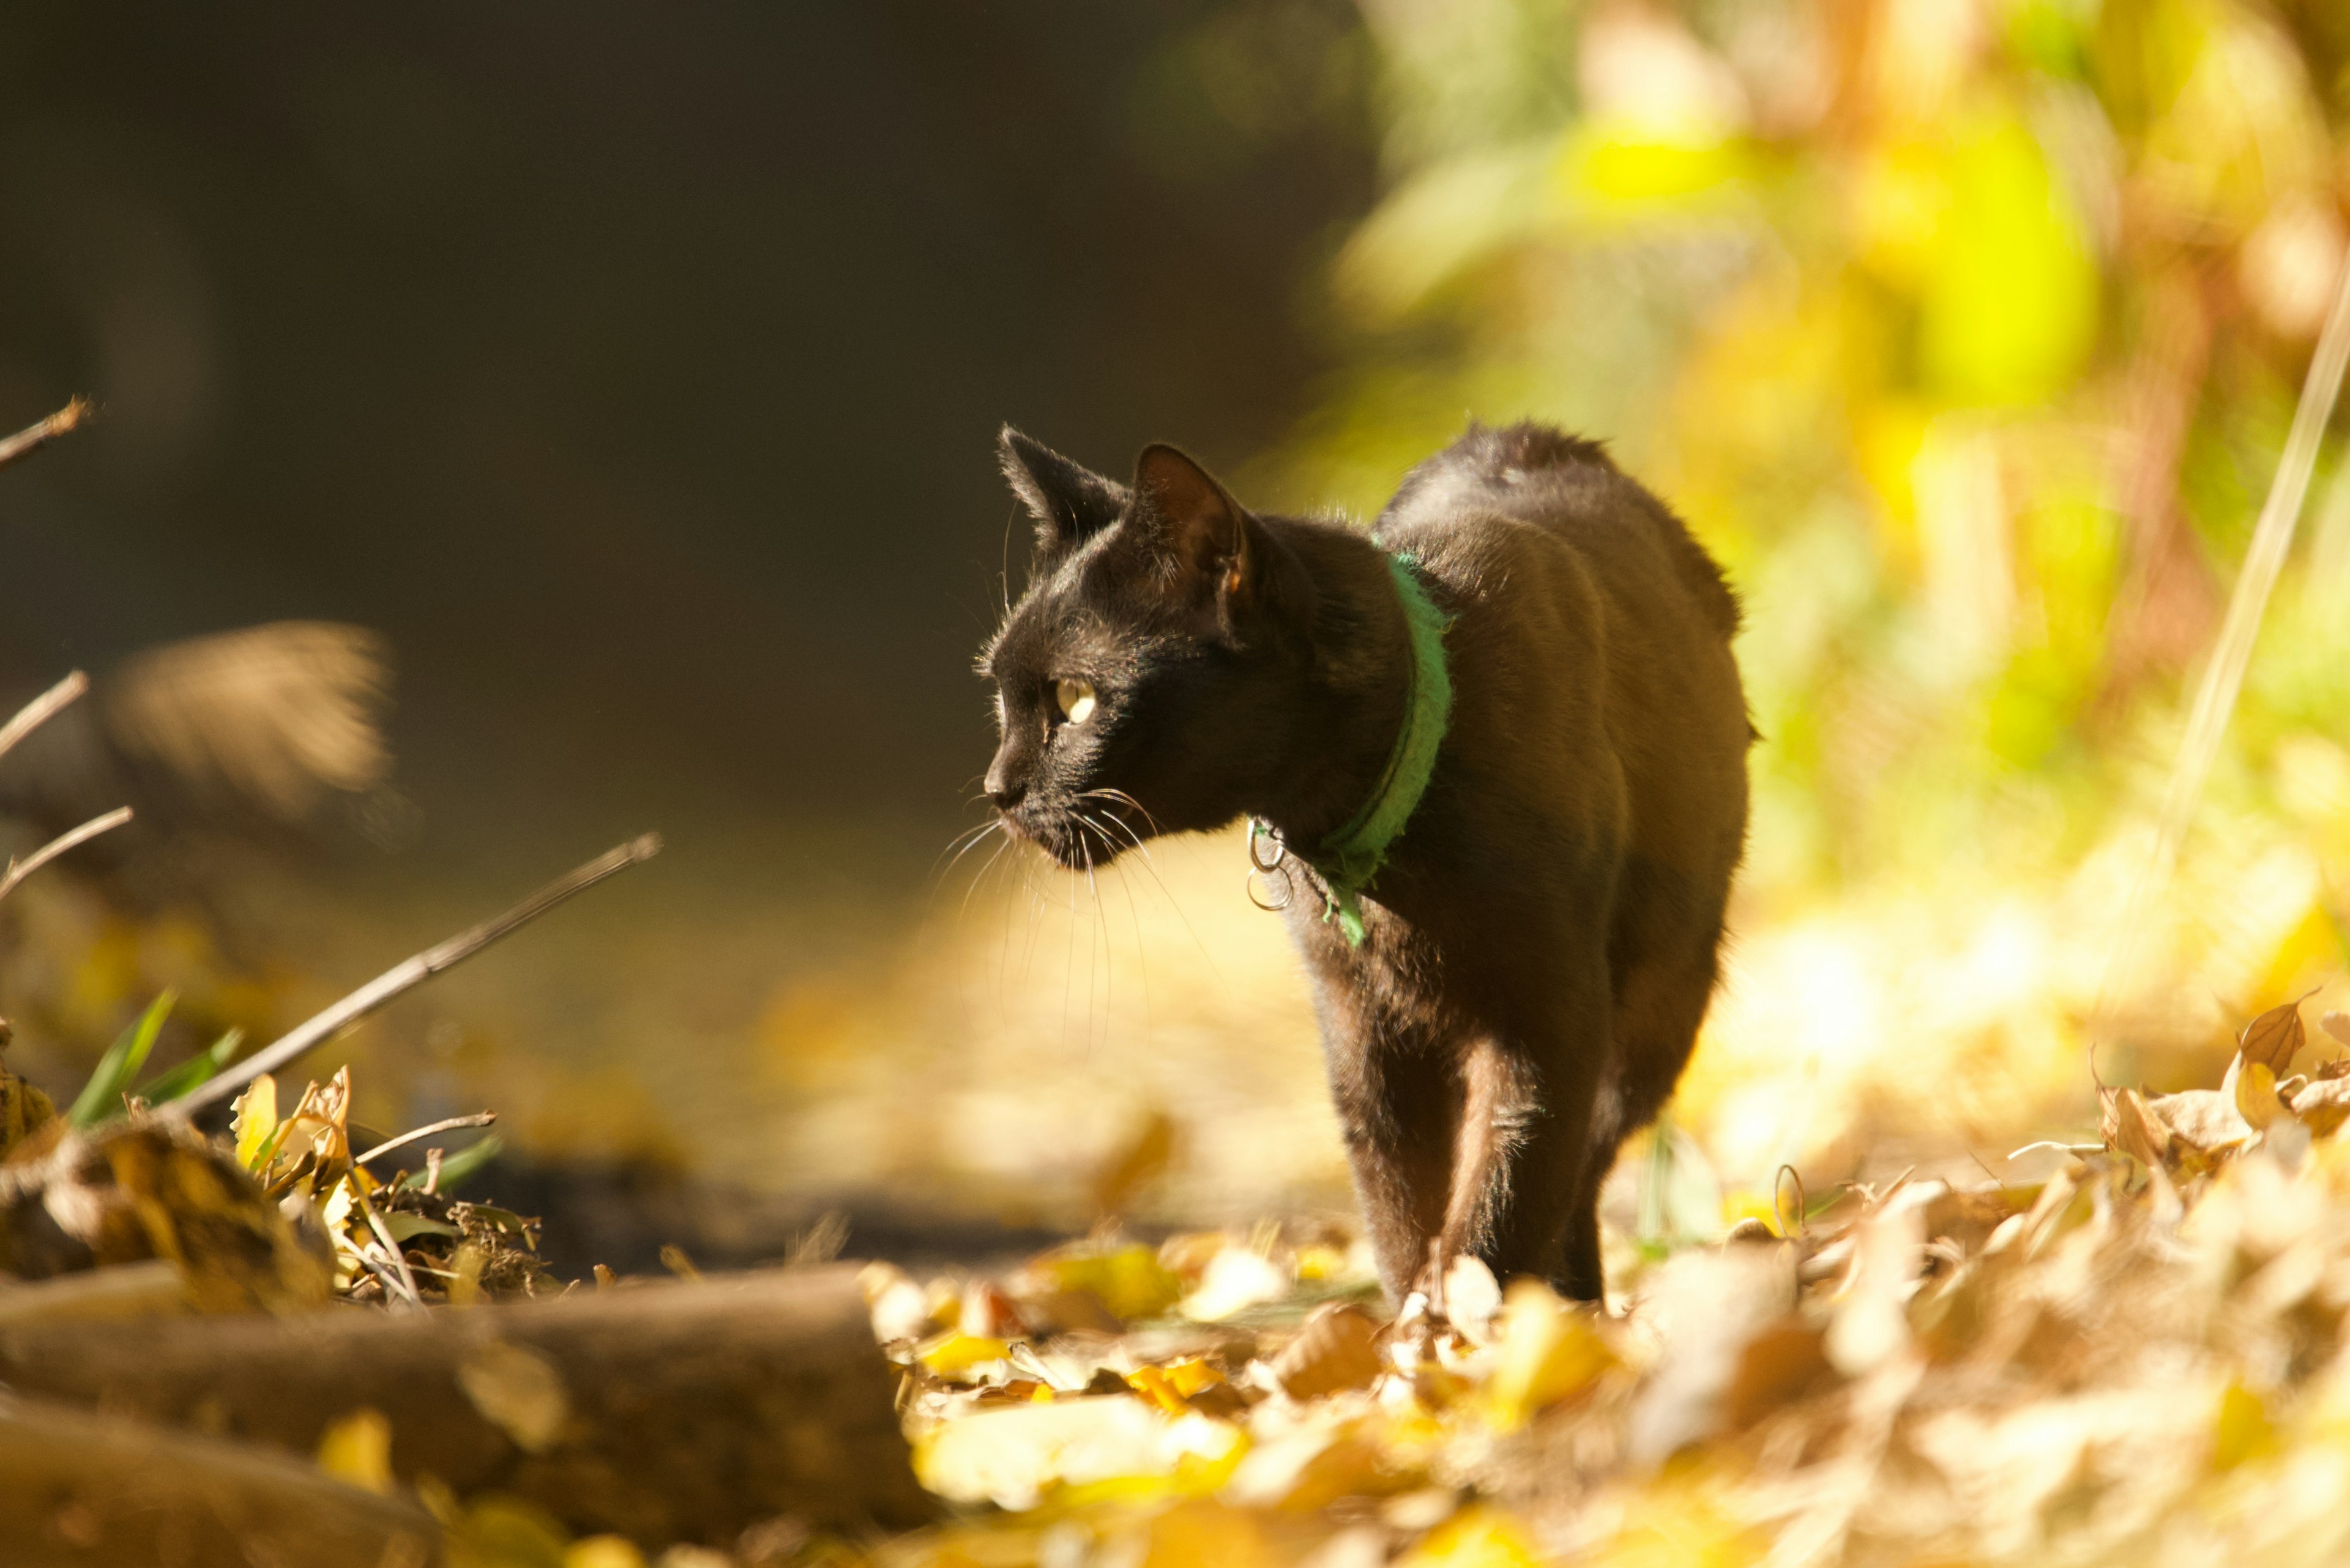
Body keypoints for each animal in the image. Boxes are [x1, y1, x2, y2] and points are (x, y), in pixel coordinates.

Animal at [972, 420, 1748, 1297]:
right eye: (1000, 695)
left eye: (1076, 701)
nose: (998, 789)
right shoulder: (1360, 1035)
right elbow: (1401, 1206)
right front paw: (1422, 1318)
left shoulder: (1548, 1022)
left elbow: (1503, 1193)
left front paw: (1463, 1322)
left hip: (1658, 1005)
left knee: (1582, 1168)